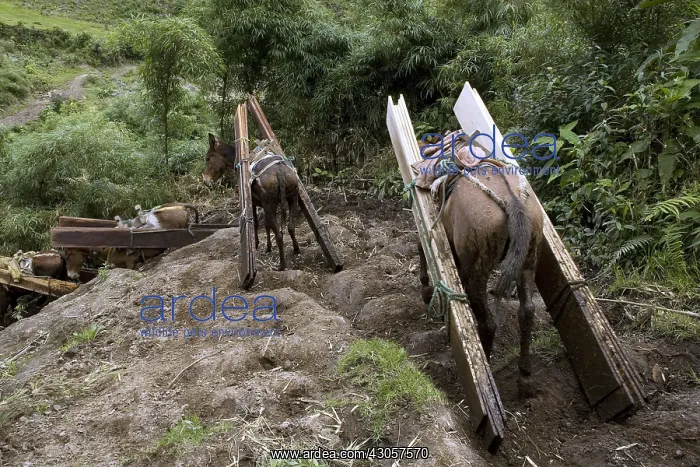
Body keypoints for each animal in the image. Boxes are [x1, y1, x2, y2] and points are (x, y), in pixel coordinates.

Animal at [203, 133, 300, 271]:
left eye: (207, 158)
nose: (205, 181)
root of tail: (279, 170)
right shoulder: (265, 205)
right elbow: (267, 225)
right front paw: (268, 247)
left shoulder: (254, 203)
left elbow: (257, 224)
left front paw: (258, 244)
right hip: (292, 198)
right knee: (291, 227)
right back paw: (296, 249)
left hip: (272, 204)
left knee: (279, 235)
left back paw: (282, 265)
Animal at [417, 155, 544, 396]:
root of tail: (511, 201)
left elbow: (421, 245)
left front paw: (426, 289)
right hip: (528, 261)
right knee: (527, 312)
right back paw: (525, 376)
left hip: (476, 273)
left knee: (488, 323)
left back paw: (485, 368)